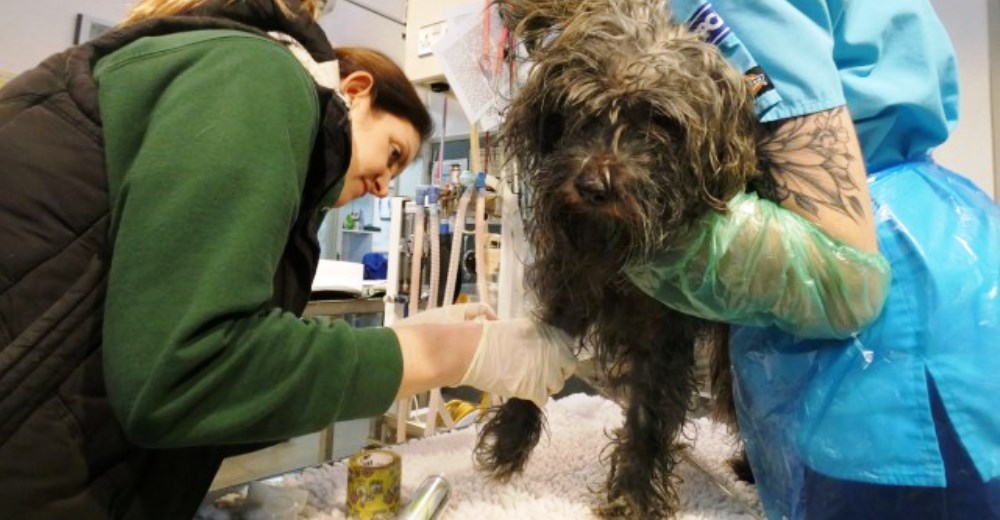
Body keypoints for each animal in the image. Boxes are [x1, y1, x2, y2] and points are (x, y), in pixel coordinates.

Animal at [472, 0, 760, 516]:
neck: (611, 249)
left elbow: (647, 418)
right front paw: (510, 438)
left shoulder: (662, 338)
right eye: (581, 111)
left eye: (661, 122)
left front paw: (632, 493)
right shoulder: (567, 293)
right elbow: (539, 359)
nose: (593, 187)